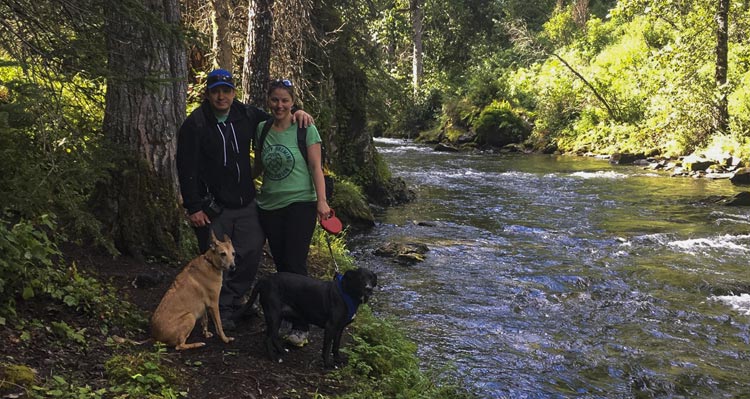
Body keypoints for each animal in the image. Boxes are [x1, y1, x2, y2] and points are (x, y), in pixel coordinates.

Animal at [245, 268, 376, 368]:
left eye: (371, 278)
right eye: (361, 278)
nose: (369, 288)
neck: (347, 293)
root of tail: (265, 279)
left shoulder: (340, 328)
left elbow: (336, 346)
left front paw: (338, 360)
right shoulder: (331, 327)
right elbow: (327, 348)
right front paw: (327, 364)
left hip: (277, 316)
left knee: (274, 336)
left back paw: (282, 351)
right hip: (274, 315)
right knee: (268, 339)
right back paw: (274, 357)